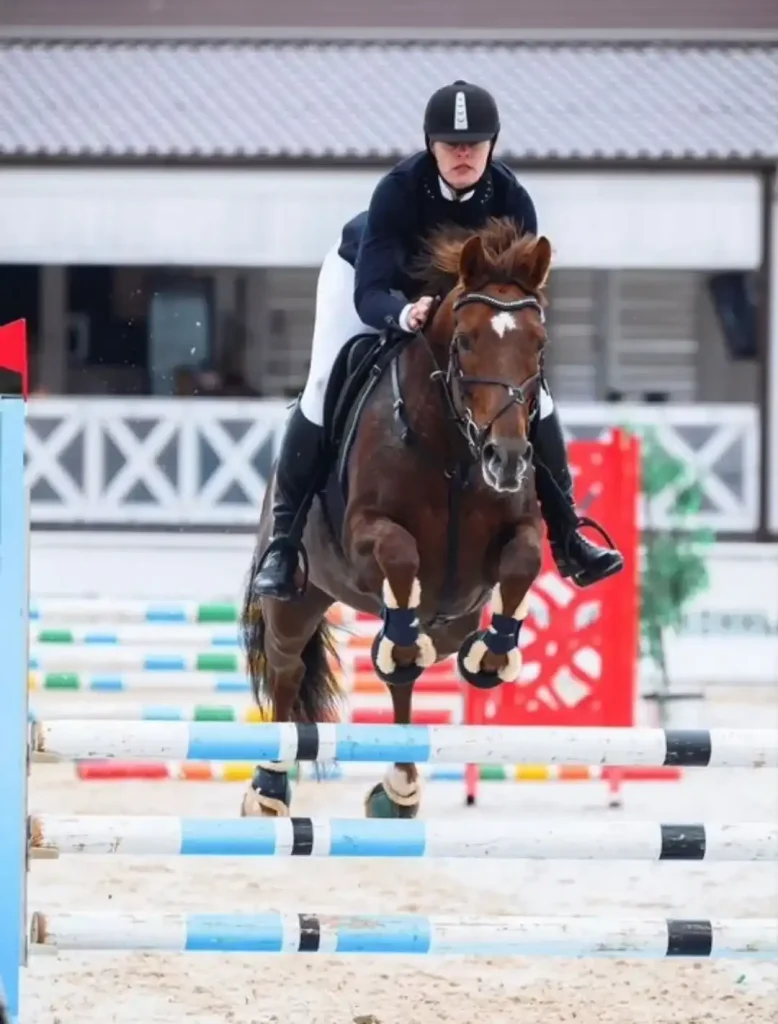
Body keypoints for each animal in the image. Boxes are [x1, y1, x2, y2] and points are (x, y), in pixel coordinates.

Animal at [241, 217, 551, 819]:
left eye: (538, 344)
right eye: (465, 340)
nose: (507, 459)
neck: (455, 454)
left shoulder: (505, 547)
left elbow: (522, 560)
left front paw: (493, 657)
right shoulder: (366, 538)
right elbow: (398, 551)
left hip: (451, 620)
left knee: (406, 676)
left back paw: (400, 784)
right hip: (296, 599)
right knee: (288, 670)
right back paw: (269, 787)